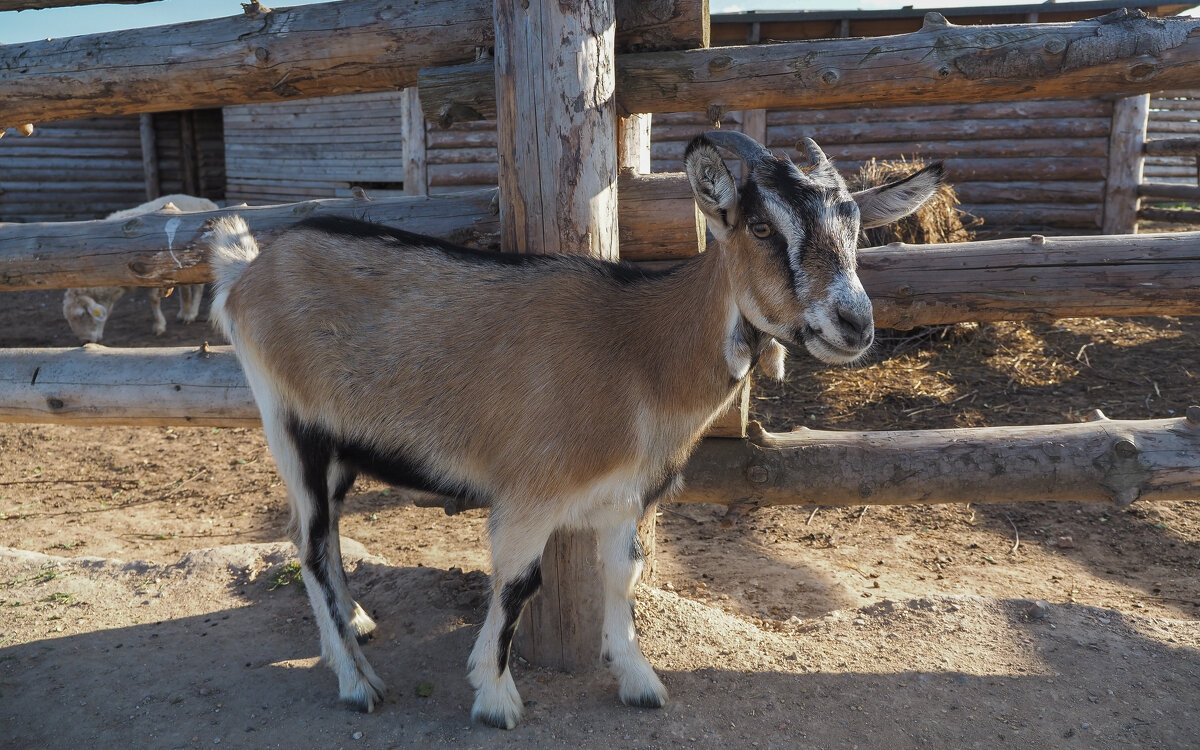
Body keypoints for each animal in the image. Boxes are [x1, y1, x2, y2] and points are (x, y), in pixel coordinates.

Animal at [62, 194, 216, 343]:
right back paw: (184, 311)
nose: (85, 341)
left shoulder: (155, 271)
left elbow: (153, 299)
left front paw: (159, 326)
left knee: (199, 287)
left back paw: (191, 314)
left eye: (82, 315)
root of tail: (206, 201)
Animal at [204, 131, 936, 729]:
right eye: (759, 224)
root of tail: (247, 272)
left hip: (340, 449)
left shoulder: (622, 500)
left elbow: (623, 576)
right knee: (312, 546)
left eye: (856, 227)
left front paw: (639, 681)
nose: (854, 324)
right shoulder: (530, 496)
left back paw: (353, 631)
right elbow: (516, 585)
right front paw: (495, 697)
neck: (641, 352)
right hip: (292, 425)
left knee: (313, 537)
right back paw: (358, 682)